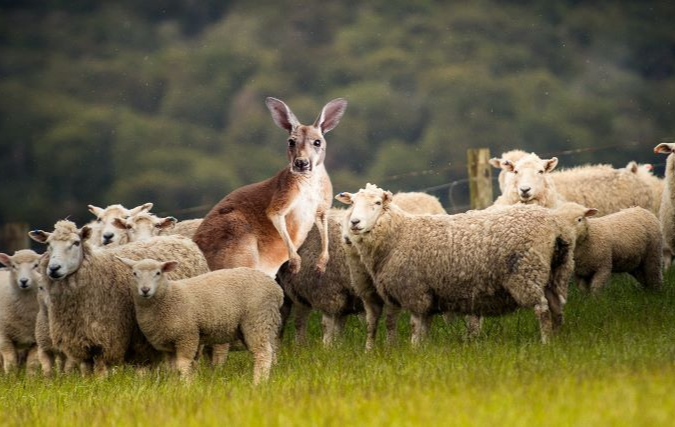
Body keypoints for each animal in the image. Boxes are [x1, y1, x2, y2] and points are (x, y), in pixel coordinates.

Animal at [29, 222, 209, 376]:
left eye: (76, 243)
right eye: (48, 244)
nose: (54, 268)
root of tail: (183, 239)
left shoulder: (107, 337)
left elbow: (100, 370)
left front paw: (100, 384)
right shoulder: (81, 340)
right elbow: (86, 370)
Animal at [117, 260, 284, 386]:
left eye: (158, 273)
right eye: (134, 274)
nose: (145, 290)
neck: (168, 297)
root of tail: (276, 289)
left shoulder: (187, 335)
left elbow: (183, 364)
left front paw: (186, 386)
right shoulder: (168, 344)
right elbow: (172, 368)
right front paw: (173, 386)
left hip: (257, 319)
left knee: (263, 353)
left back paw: (258, 383)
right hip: (266, 322)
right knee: (271, 350)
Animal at [336, 184, 588, 344]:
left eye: (377, 203)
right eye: (352, 204)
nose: (355, 223)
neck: (398, 234)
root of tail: (554, 226)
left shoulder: (415, 292)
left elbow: (416, 327)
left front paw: (414, 350)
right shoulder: (428, 294)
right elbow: (424, 327)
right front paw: (423, 352)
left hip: (527, 273)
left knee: (542, 309)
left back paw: (545, 342)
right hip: (557, 273)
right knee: (556, 307)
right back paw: (557, 339)